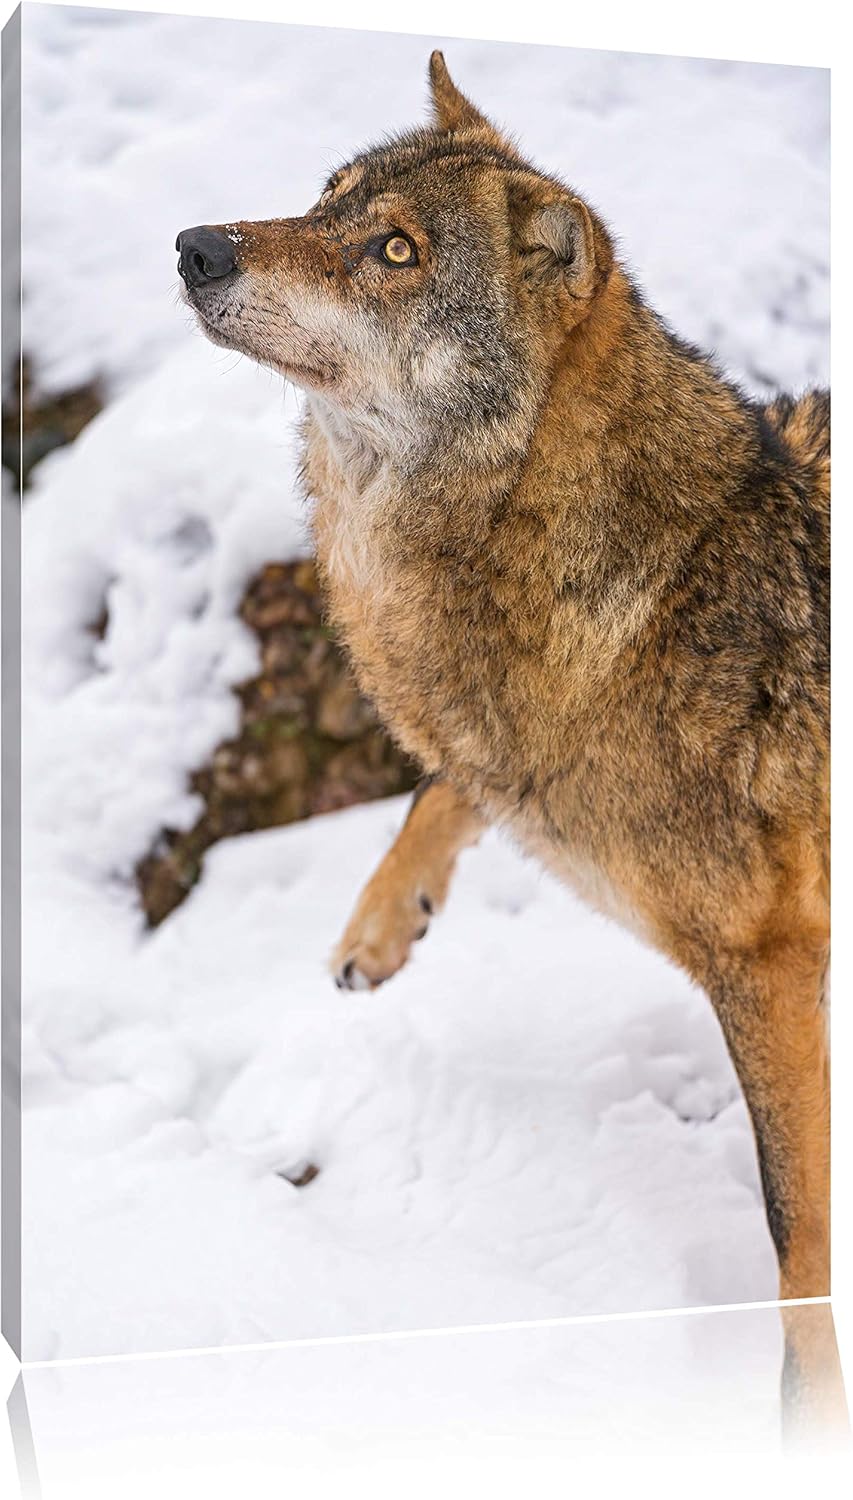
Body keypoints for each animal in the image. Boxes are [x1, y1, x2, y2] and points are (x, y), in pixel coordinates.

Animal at [177, 53, 830, 1312]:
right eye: (324, 199)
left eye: (396, 251)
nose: (195, 247)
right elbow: (447, 782)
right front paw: (382, 923)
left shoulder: (772, 965)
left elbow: (799, 1227)